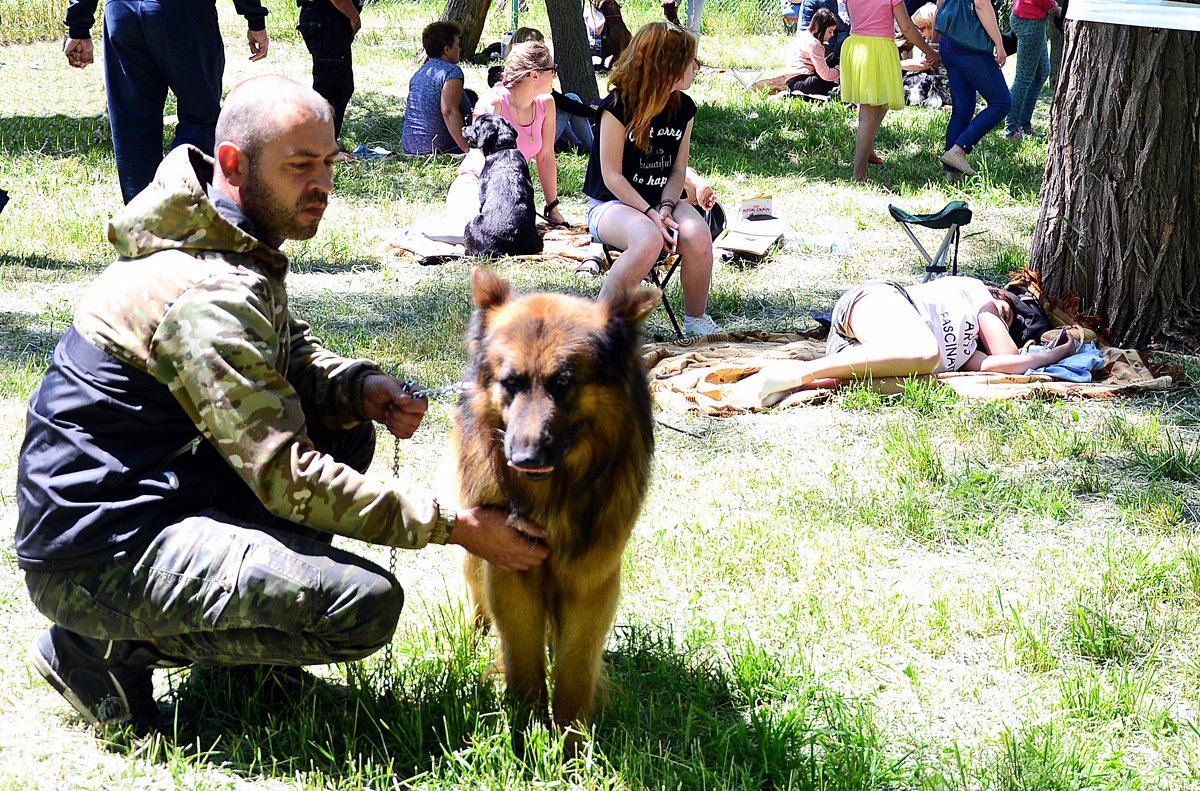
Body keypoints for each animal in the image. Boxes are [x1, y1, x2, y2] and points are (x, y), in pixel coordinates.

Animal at [451, 268, 657, 753]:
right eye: (510, 383)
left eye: (563, 383)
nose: (524, 459)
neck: (555, 495)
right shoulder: (511, 574)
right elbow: (524, 663)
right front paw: (526, 736)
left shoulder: (591, 580)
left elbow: (575, 669)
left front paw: (572, 745)